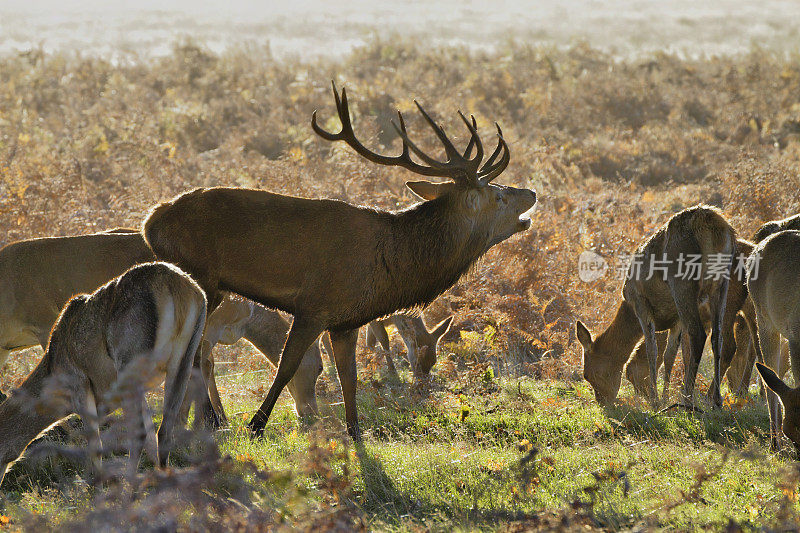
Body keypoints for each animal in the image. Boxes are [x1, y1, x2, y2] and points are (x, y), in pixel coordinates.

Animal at [0, 262, 206, 486]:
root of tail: (173, 286)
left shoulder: (79, 383)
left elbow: (94, 442)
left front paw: (93, 482)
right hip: (185, 357)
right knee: (165, 429)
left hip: (130, 360)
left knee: (139, 432)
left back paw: (129, 485)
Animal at [144, 83, 536, 438]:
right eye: (498, 196)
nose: (530, 192)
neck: (392, 268)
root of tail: (151, 222)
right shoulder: (314, 305)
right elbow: (287, 365)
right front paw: (256, 426)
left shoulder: (347, 320)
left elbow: (351, 376)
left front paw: (356, 432)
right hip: (203, 279)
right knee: (194, 353)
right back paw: (205, 422)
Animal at [576, 205, 736, 408]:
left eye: (587, 375)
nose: (603, 403)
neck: (628, 306)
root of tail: (713, 225)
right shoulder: (676, 318)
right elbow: (670, 355)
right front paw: (666, 398)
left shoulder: (640, 302)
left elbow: (652, 349)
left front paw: (655, 400)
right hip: (722, 283)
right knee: (717, 338)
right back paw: (716, 400)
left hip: (682, 282)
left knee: (698, 334)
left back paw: (687, 398)